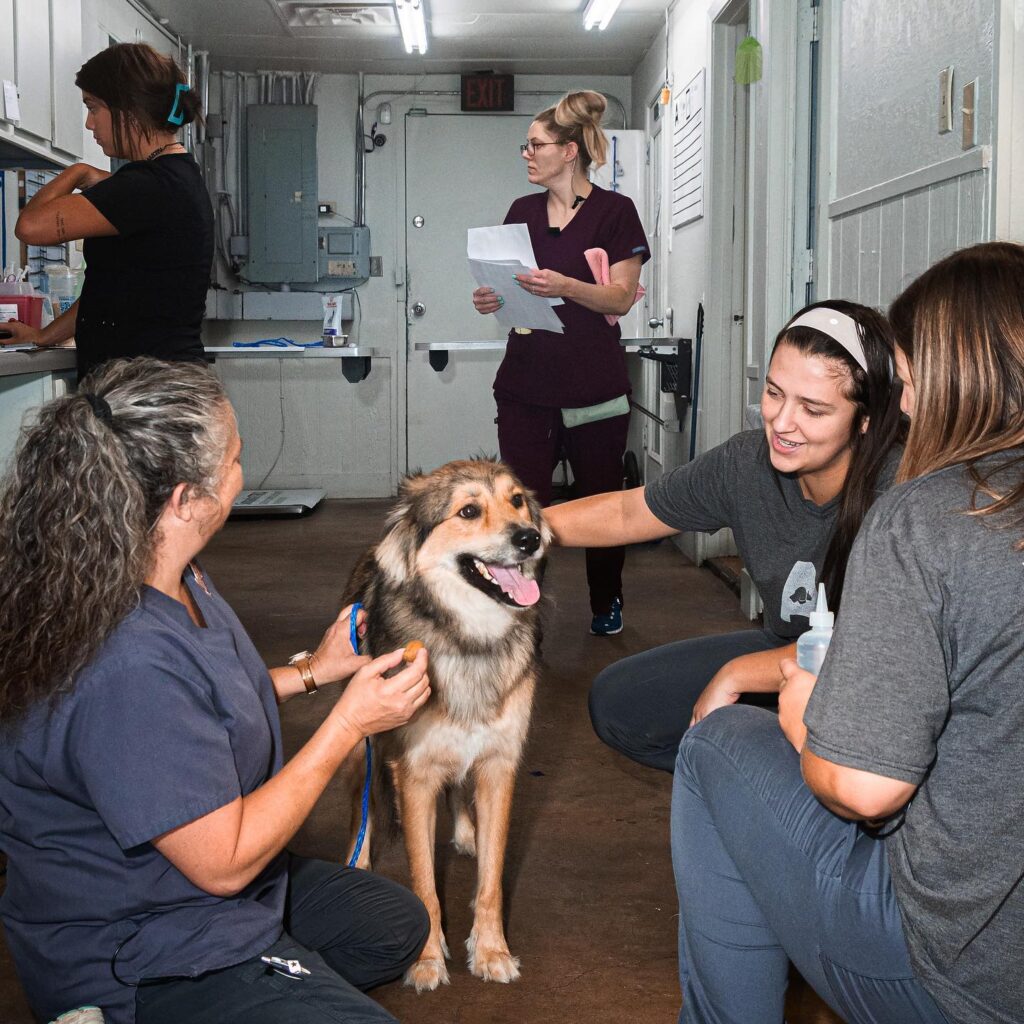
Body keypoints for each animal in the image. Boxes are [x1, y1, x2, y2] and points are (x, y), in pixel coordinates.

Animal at [339, 460, 548, 987]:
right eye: (468, 511)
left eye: (517, 500)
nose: (530, 539)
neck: (471, 640)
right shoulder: (413, 774)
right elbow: (424, 883)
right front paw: (428, 959)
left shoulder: (498, 766)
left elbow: (492, 879)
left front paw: (491, 950)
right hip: (359, 739)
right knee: (363, 802)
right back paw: (359, 859)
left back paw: (467, 832)